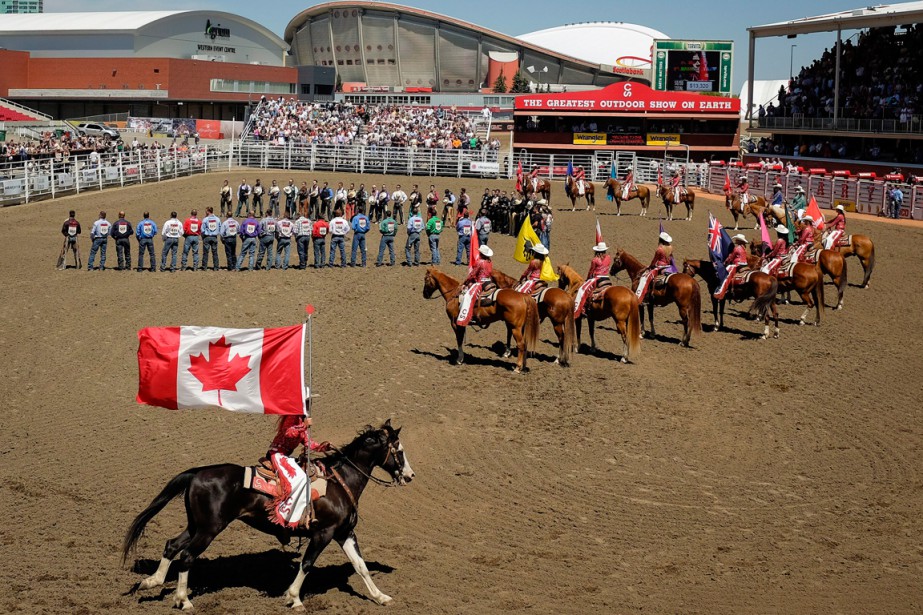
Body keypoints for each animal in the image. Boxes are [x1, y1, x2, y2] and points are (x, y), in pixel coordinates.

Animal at [122, 422, 416, 612]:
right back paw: (183, 600)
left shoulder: (344, 533)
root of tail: (197, 472)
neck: (339, 482)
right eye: (400, 451)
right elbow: (307, 564)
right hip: (209, 529)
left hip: (197, 525)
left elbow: (361, 566)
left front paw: (381, 597)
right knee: (186, 556)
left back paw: (152, 582)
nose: (410, 475)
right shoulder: (324, 533)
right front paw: (294, 598)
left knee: (172, 546)